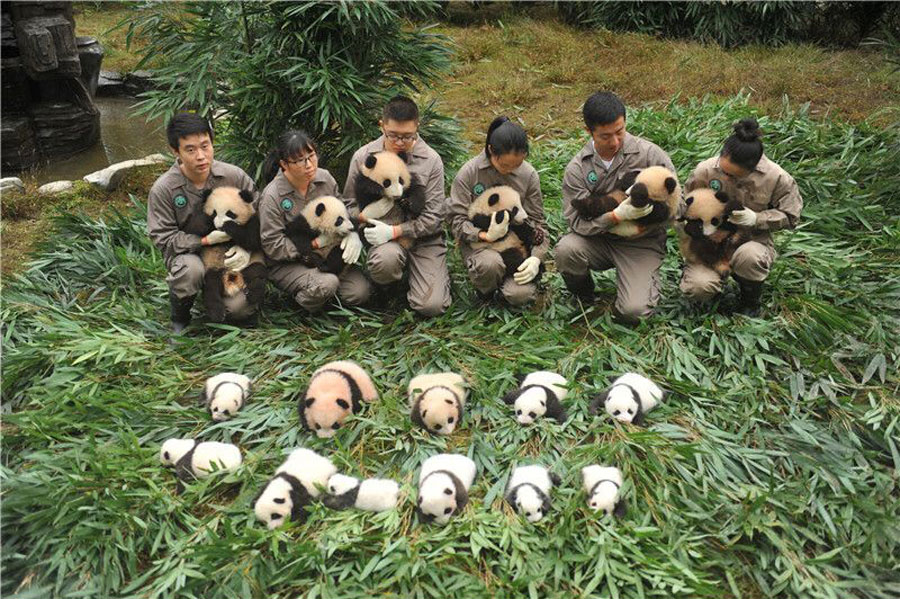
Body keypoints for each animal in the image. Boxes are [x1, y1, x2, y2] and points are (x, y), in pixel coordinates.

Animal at [182, 186, 267, 323]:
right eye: (214, 213)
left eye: (230, 213)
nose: (220, 226)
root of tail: (232, 276)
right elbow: (190, 229)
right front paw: (206, 221)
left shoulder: (253, 219)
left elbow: (253, 239)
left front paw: (229, 225)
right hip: (213, 267)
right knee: (211, 286)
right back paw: (217, 313)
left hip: (253, 262)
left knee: (257, 274)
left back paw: (253, 294)